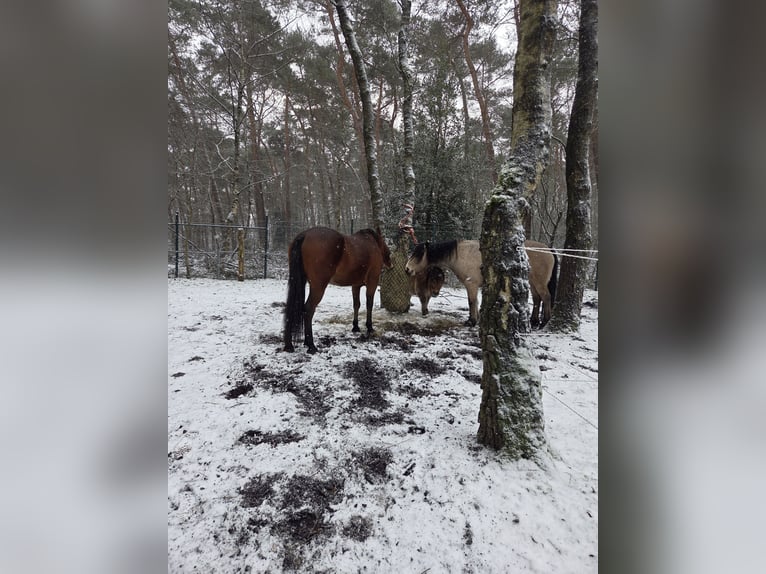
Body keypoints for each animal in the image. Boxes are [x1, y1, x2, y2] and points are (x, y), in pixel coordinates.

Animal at [404, 239, 558, 327]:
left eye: (418, 255)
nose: (407, 269)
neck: (461, 255)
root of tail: (549, 249)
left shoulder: (471, 285)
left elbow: (471, 302)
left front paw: (471, 321)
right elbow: (475, 302)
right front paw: (475, 319)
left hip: (539, 283)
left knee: (546, 297)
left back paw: (544, 322)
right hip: (532, 283)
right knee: (537, 299)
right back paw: (534, 321)